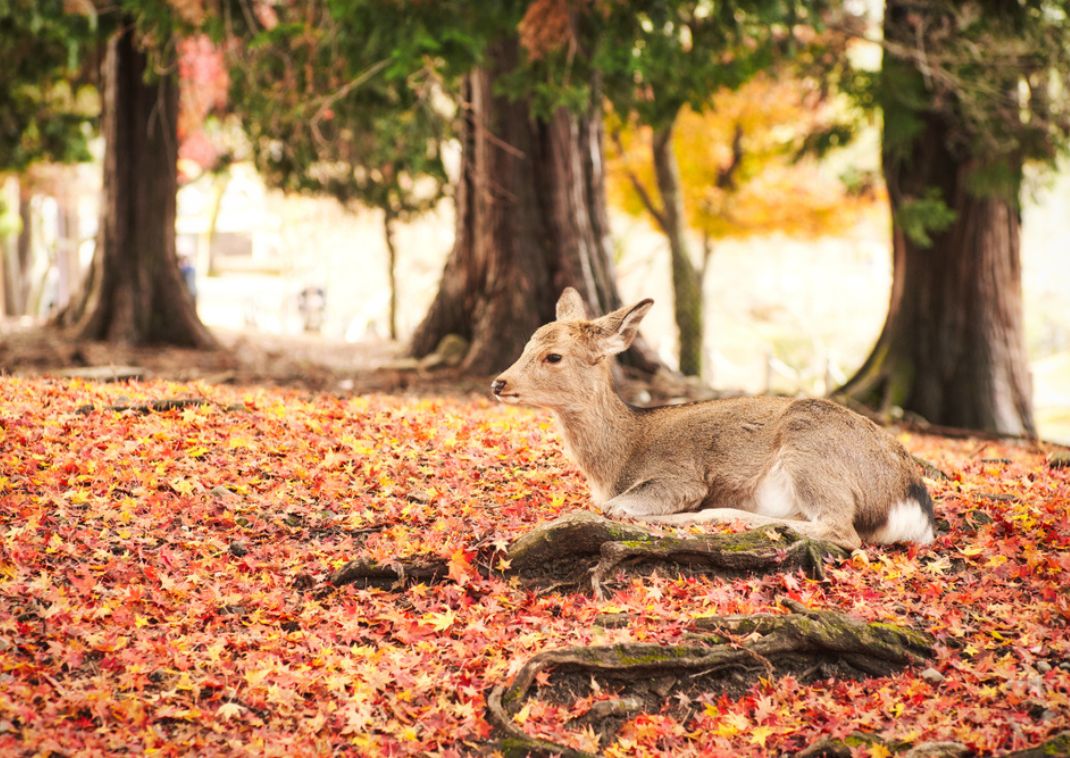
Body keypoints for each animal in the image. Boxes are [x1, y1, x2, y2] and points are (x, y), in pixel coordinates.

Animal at [492, 284, 937, 552]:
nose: (499, 382)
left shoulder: (679, 476)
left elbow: (617, 507)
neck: (614, 463)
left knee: (842, 531)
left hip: (811, 446)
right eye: (527, 344)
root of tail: (911, 502)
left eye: (553, 356)